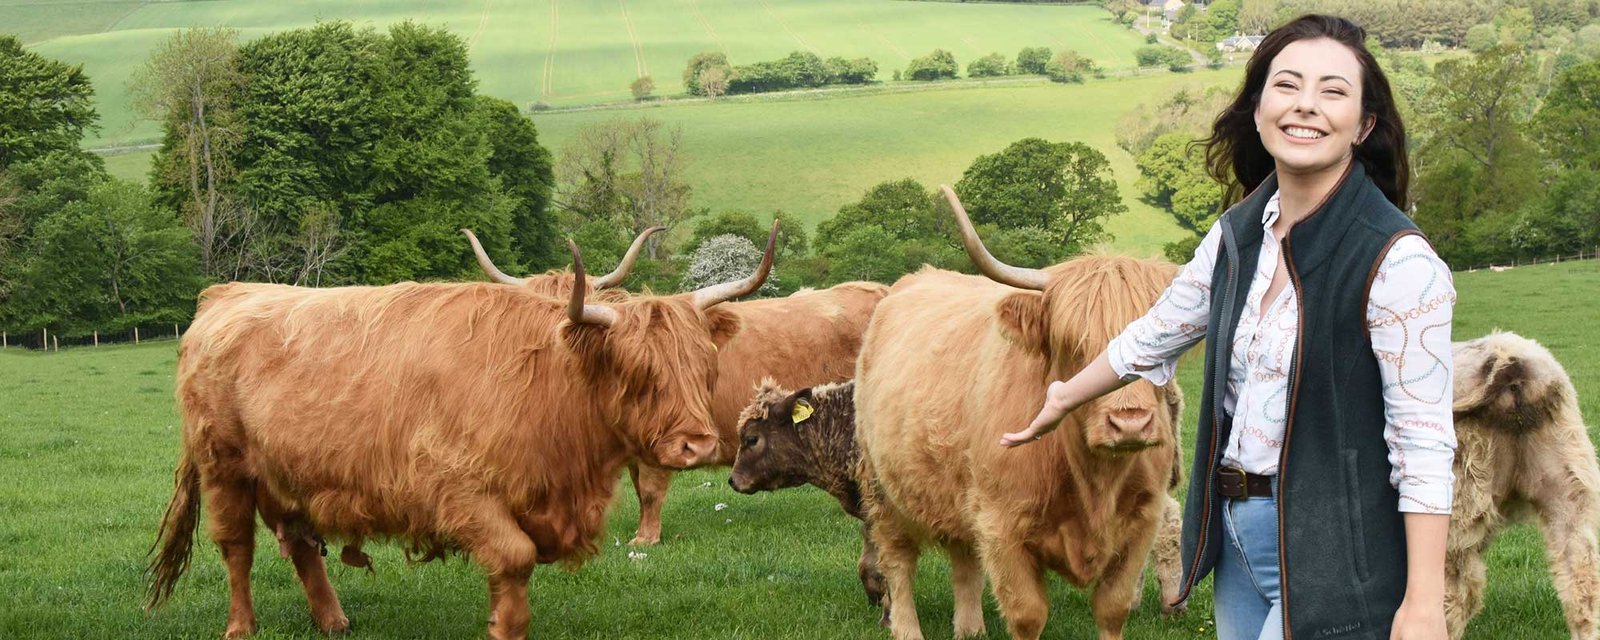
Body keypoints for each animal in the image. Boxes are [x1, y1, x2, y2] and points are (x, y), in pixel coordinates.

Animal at [145, 226, 777, 640]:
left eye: (705, 365)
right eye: (638, 371)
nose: (698, 445)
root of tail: (232, 292)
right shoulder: (457, 489)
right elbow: (514, 560)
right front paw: (502, 625)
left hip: (292, 471)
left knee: (301, 543)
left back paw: (334, 621)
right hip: (224, 465)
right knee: (236, 547)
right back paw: (240, 627)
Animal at [853, 185, 1182, 640]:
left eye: (1160, 348)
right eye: (1072, 344)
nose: (1129, 423)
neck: (1094, 480)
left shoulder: (1143, 522)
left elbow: (1113, 608)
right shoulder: (1001, 525)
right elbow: (1027, 614)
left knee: (963, 558)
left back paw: (970, 629)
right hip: (881, 486)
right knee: (898, 559)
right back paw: (907, 629)